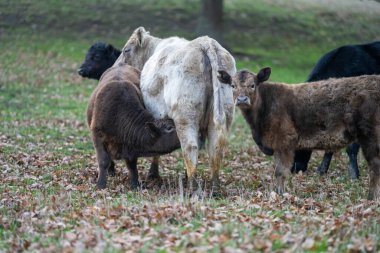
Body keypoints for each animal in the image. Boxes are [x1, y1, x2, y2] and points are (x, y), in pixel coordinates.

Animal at [87, 62, 180, 190]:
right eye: (170, 128)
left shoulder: (130, 146)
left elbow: (132, 165)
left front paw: (135, 185)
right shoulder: (97, 136)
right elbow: (103, 161)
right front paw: (101, 185)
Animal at [118, 27, 238, 192]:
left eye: (126, 50)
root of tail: (205, 42)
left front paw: (153, 174)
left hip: (185, 116)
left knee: (190, 147)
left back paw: (191, 187)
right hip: (224, 113)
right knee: (215, 148)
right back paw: (214, 188)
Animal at [232, 68, 380, 201]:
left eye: (253, 85)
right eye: (232, 85)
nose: (241, 99)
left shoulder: (284, 141)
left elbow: (280, 171)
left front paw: (280, 195)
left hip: (370, 136)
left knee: (375, 166)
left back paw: (371, 197)